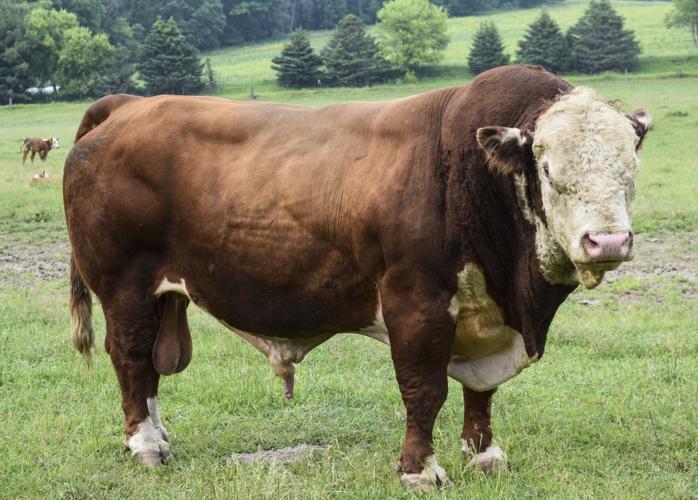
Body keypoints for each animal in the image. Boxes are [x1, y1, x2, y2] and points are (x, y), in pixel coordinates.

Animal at [64, 65, 650, 490]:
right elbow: (424, 389)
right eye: (549, 170)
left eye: (631, 173)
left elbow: (480, 392)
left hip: (164, 294)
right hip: (124, 286)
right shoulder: (416, 301)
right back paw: (145, 446)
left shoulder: (485, 316)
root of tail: (129, 105)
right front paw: (420, 470)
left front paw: (484, 455)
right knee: (131, 359)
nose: (608, 242)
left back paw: (158, 436)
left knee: (151, 369)